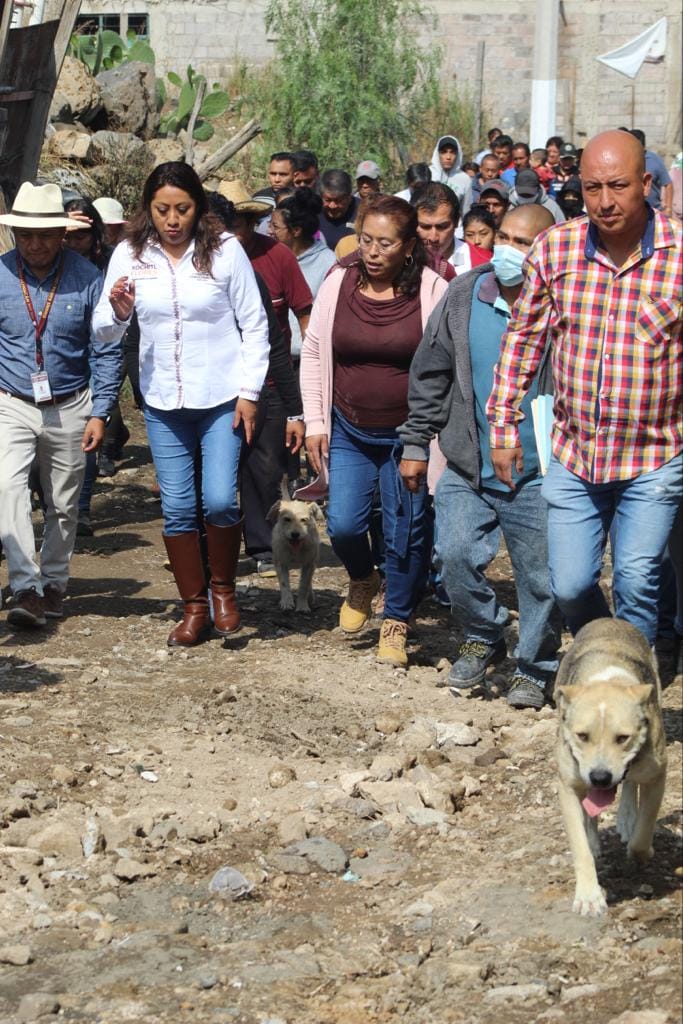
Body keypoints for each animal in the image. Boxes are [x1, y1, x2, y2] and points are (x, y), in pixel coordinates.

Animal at [557, 614, 667, 921]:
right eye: (582, 736)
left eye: (623, 738)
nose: (600, 777)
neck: (607, 679)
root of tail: (609, 618)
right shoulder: (568, 787)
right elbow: (580, 846)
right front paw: (589, 897)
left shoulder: (658, 774)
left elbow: (645, 827)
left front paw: (641, 851)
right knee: (590, 814)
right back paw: (595, 839)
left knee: (630, 787)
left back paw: (627, 818)